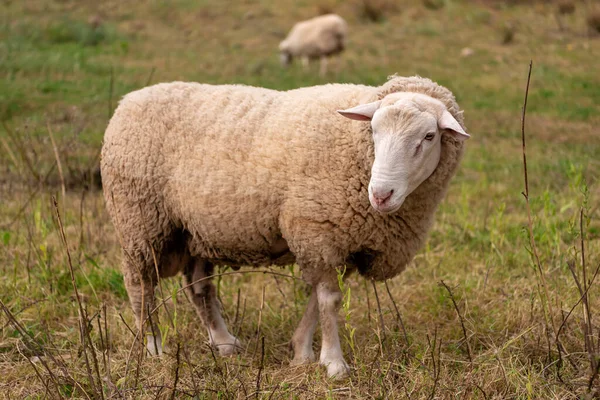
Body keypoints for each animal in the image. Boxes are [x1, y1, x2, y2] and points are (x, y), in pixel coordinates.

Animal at [102, 74, 468, 378]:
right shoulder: (318, 230)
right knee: (141, 286)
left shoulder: (339, 243)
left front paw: (301, 351)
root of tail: (128, 100)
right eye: (374, 131)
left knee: (199, 287)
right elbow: (329, 301)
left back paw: (223, 341)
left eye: (429, 136)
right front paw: (333, 363)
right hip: (140, 221)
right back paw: (153, 347)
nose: (380, 194)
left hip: (194, 229)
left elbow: (317, 300)